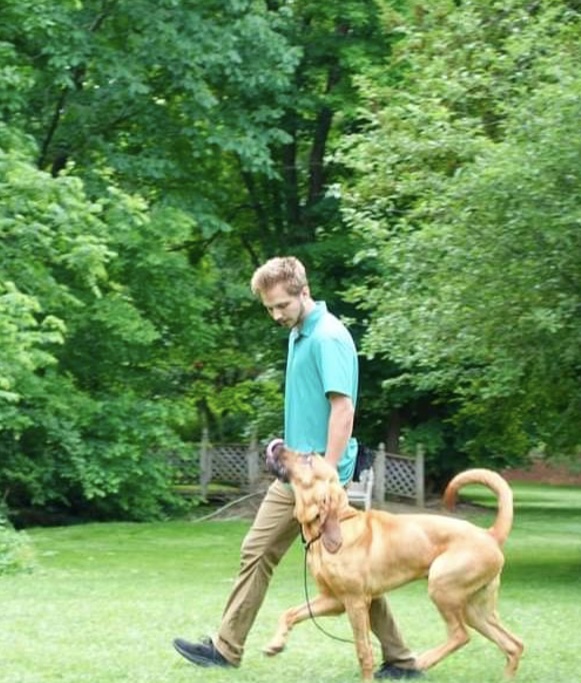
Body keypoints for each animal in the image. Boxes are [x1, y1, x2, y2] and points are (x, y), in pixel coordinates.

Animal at [262, 444, 520, 680]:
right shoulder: (332, 600)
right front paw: (275, 644)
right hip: (475, 609)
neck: (334, 527)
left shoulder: (355, 602)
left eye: (308, 458)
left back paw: (423, 660)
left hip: (443, 588)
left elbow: (363, 651)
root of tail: (489, 534)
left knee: (460, 635)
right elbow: (289, 613)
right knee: (513, 644)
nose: (277, 445)